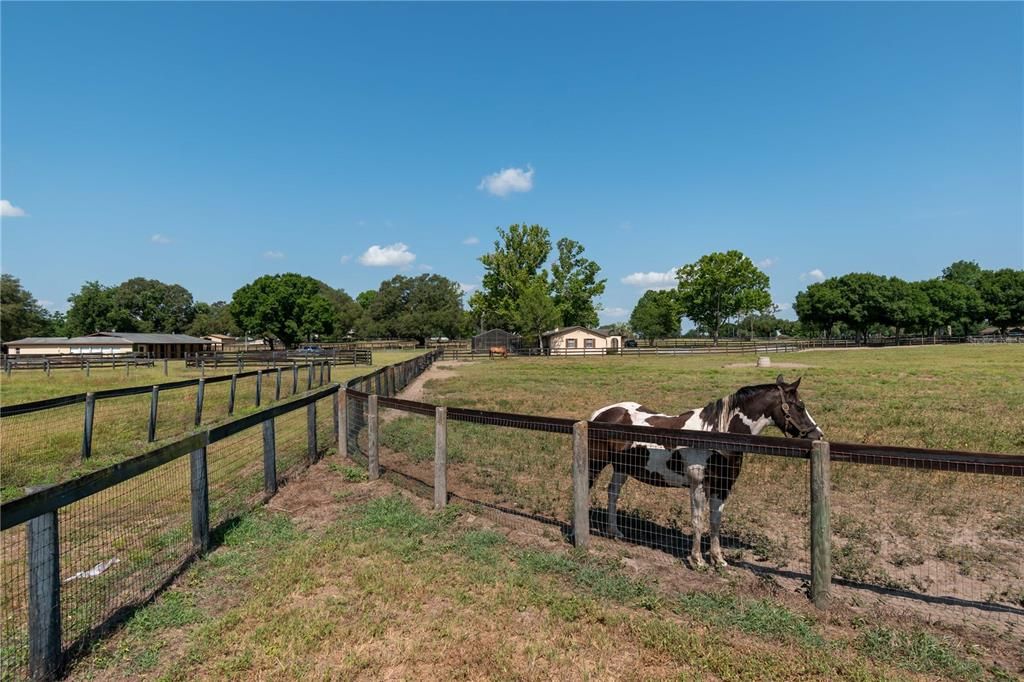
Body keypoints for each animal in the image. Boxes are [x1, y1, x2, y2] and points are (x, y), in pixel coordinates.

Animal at [589, 374, 819, 565]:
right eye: (798, 406)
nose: (817, 435)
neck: (714, 435)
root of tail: (600, 413)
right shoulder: (698, 485)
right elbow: (698, 520)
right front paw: (697, 560)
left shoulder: (722, 487)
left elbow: (715, 521)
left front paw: (718, 560)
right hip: (596, 462)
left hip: (622, 467)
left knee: (612, 493)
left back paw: (615, 531)